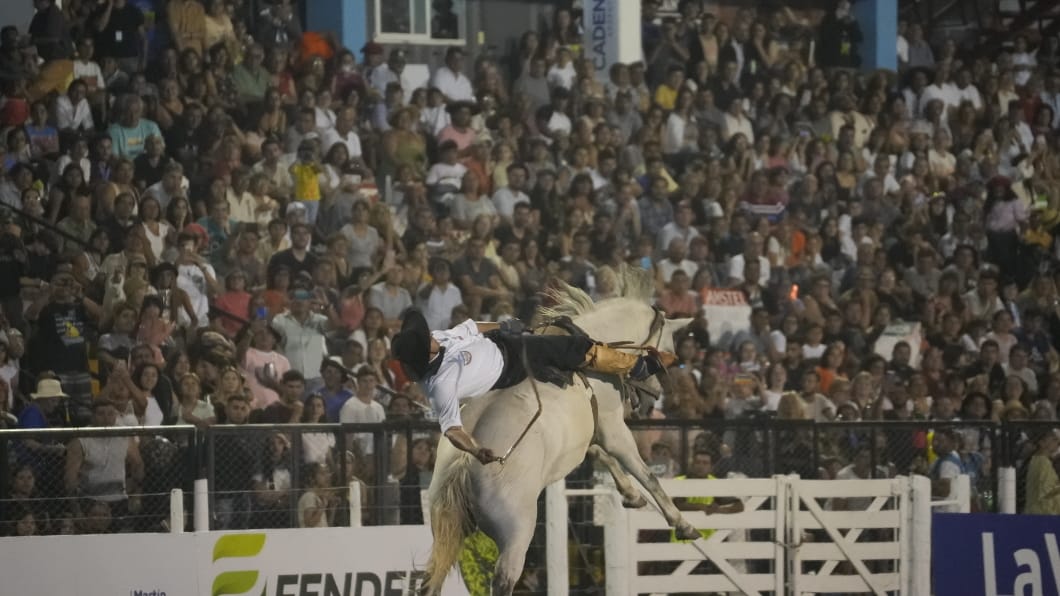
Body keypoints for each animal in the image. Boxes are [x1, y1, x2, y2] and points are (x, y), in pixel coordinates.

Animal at [421, 271, 703, 589]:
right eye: (668, 351)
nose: (652, 397)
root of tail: (464, 460)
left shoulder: (588, 433)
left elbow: (601, 455)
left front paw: (631, 494)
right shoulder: (613, 428)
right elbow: (644, 473)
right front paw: (682, 524)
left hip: (446, 528)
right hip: (516, 534)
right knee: (504, 578)